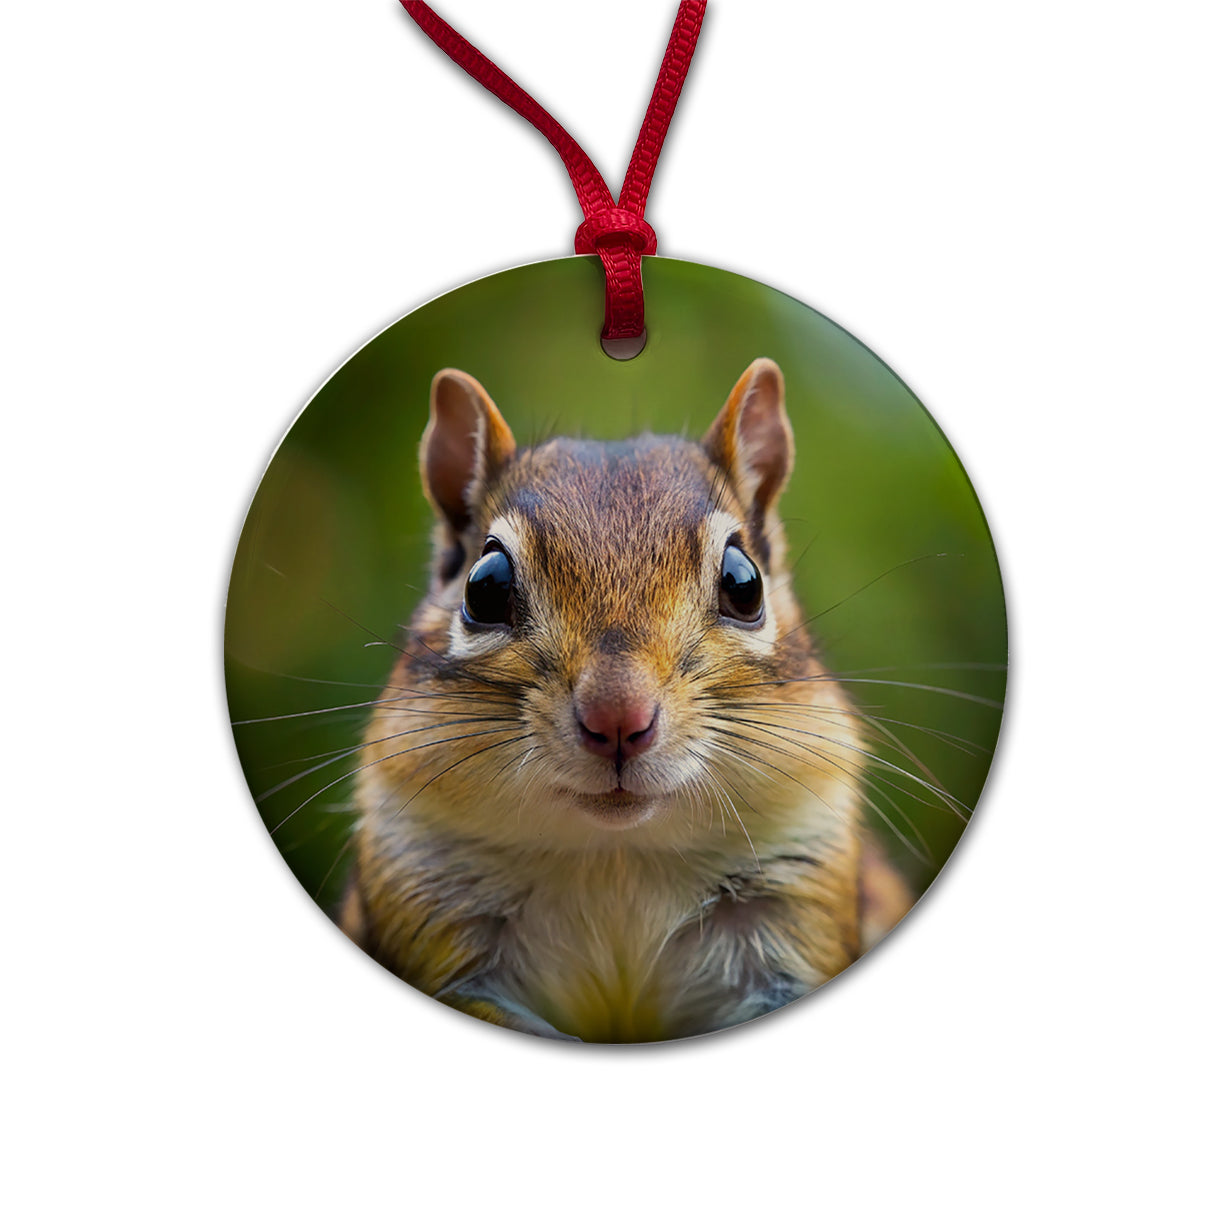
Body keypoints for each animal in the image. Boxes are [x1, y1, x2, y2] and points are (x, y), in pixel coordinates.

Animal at [339, 358, 913, 1042]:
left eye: (744, 583)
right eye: (485, 588)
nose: (617, 719)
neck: (615, 855)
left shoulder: (795, 889)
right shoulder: (428, 899)